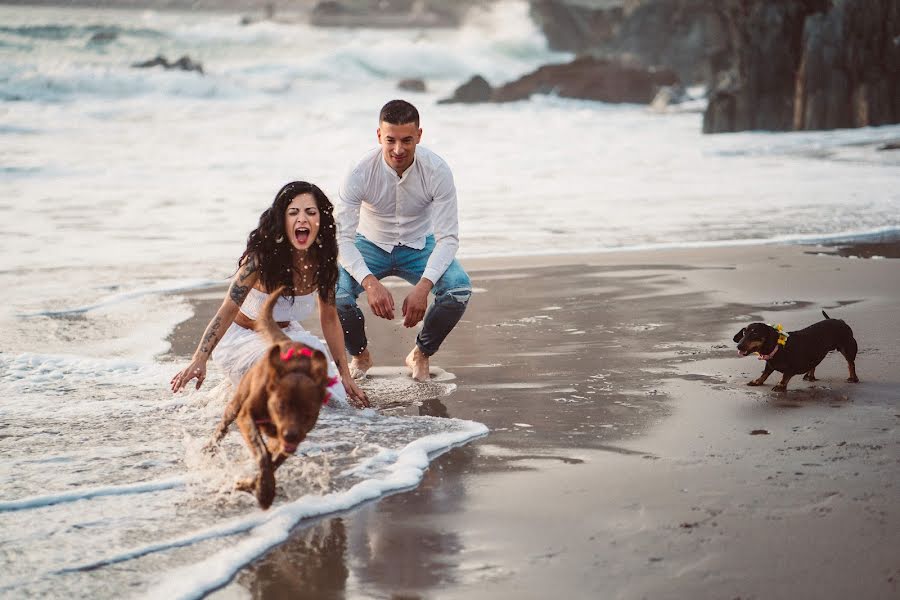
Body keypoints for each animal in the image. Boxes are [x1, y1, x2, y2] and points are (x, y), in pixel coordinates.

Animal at [211, 286, 330, 506]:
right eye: (280, 406)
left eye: (308, 413)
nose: (290, 435)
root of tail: (287, 342)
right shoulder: (246, 416)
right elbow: (262, 454)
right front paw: (265, 491)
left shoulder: (288, 439)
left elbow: (272, 462)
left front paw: (254, 485)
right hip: (236, 403)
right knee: (223, 425)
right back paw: (209, 449)